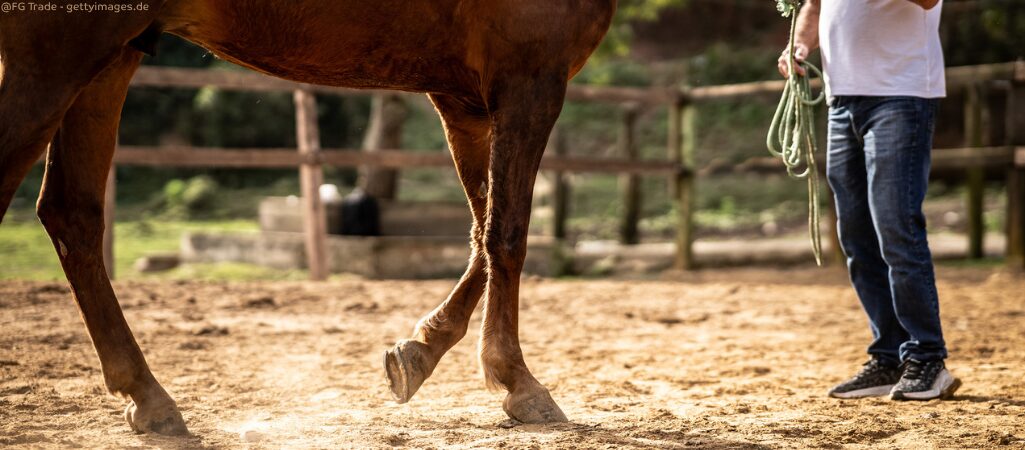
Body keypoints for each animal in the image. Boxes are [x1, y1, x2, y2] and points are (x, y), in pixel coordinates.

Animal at [0, 0, 616, 436]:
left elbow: (479, 235)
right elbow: (506, 234)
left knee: (73, 216)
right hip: (58, 55)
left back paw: (149, 399)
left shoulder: (465, 100)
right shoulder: (529, 79)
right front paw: (519, 382)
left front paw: (417, 353)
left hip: (109, 59)